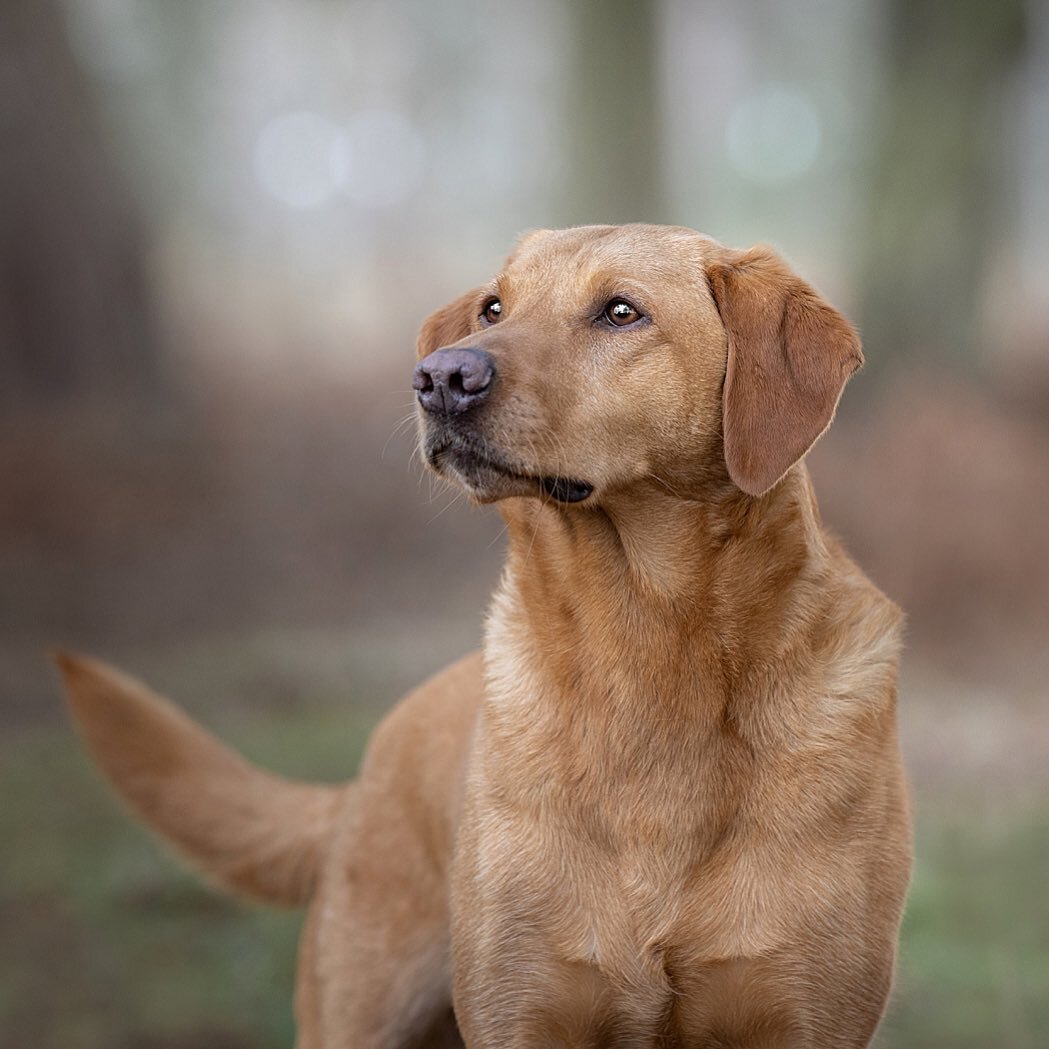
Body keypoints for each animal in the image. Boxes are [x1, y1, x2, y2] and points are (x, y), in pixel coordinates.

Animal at [59, 223, 910, 1049]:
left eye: (621, 312)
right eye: (492, 309)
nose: (439, 377)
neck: (646, 649)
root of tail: (358, 782)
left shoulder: (804, 1013)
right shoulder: (522, 1006)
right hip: (356, 1013)